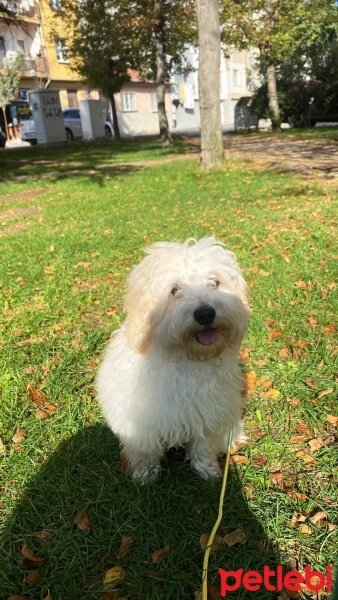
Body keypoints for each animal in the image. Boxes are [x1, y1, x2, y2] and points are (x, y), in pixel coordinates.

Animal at [96, 238, 250, 482]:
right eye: (174, 290)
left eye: (215, 282)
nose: (205, 313)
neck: (185, 358)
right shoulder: (140, 422)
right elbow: (145, 449)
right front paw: (145, 474)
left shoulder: (208, 412)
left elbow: (203, 446)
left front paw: (208, 471)